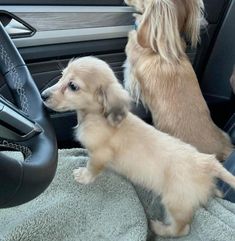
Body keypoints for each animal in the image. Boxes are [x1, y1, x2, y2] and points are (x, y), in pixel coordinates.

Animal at [41, 56, 235, 237]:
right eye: (62, 75)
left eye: (73, 86)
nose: (42, 95)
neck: (97, 117)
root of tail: (206, 161)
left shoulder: (99, 154)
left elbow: (92, 167)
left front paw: (83, 176)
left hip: (175, 203)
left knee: (182, 229)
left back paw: (160, 228)